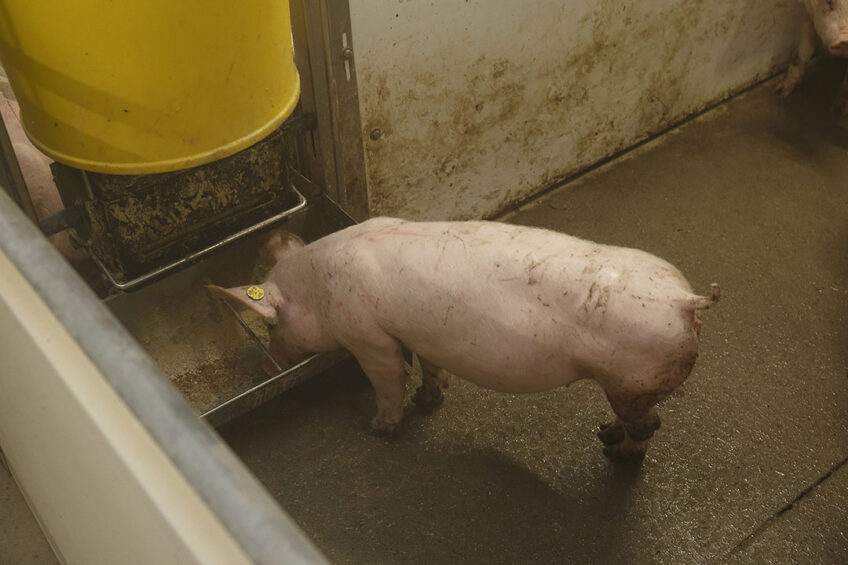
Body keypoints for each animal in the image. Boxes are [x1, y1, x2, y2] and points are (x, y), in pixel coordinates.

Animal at [208, 218, 719, 462]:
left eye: (271, 326)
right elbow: (430, 367)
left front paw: (377, 429)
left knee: (649, 426)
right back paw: (604, 434)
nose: (264, 367)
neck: (318, 284)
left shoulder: (368, 338)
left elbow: (387, 380)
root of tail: (684, 299)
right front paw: (430, 400)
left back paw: (615, 454)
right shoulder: (419, 334)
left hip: (634, 377)